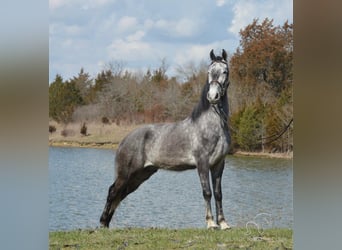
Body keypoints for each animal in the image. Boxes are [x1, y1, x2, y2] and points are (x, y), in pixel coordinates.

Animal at [100, 47, 231, 229]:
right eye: (209, 72)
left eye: (225, 71)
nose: (213, 96)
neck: (213, 125)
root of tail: (125, 139)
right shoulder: (202, 163)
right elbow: (207, 192)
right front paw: (211, 223)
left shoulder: (218, 164)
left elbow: (218, 193)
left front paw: (224, 224)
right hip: (126, 174)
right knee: (113, 192)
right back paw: (103, 223)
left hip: (140, 175)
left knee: (120, 194)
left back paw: (106, 224)